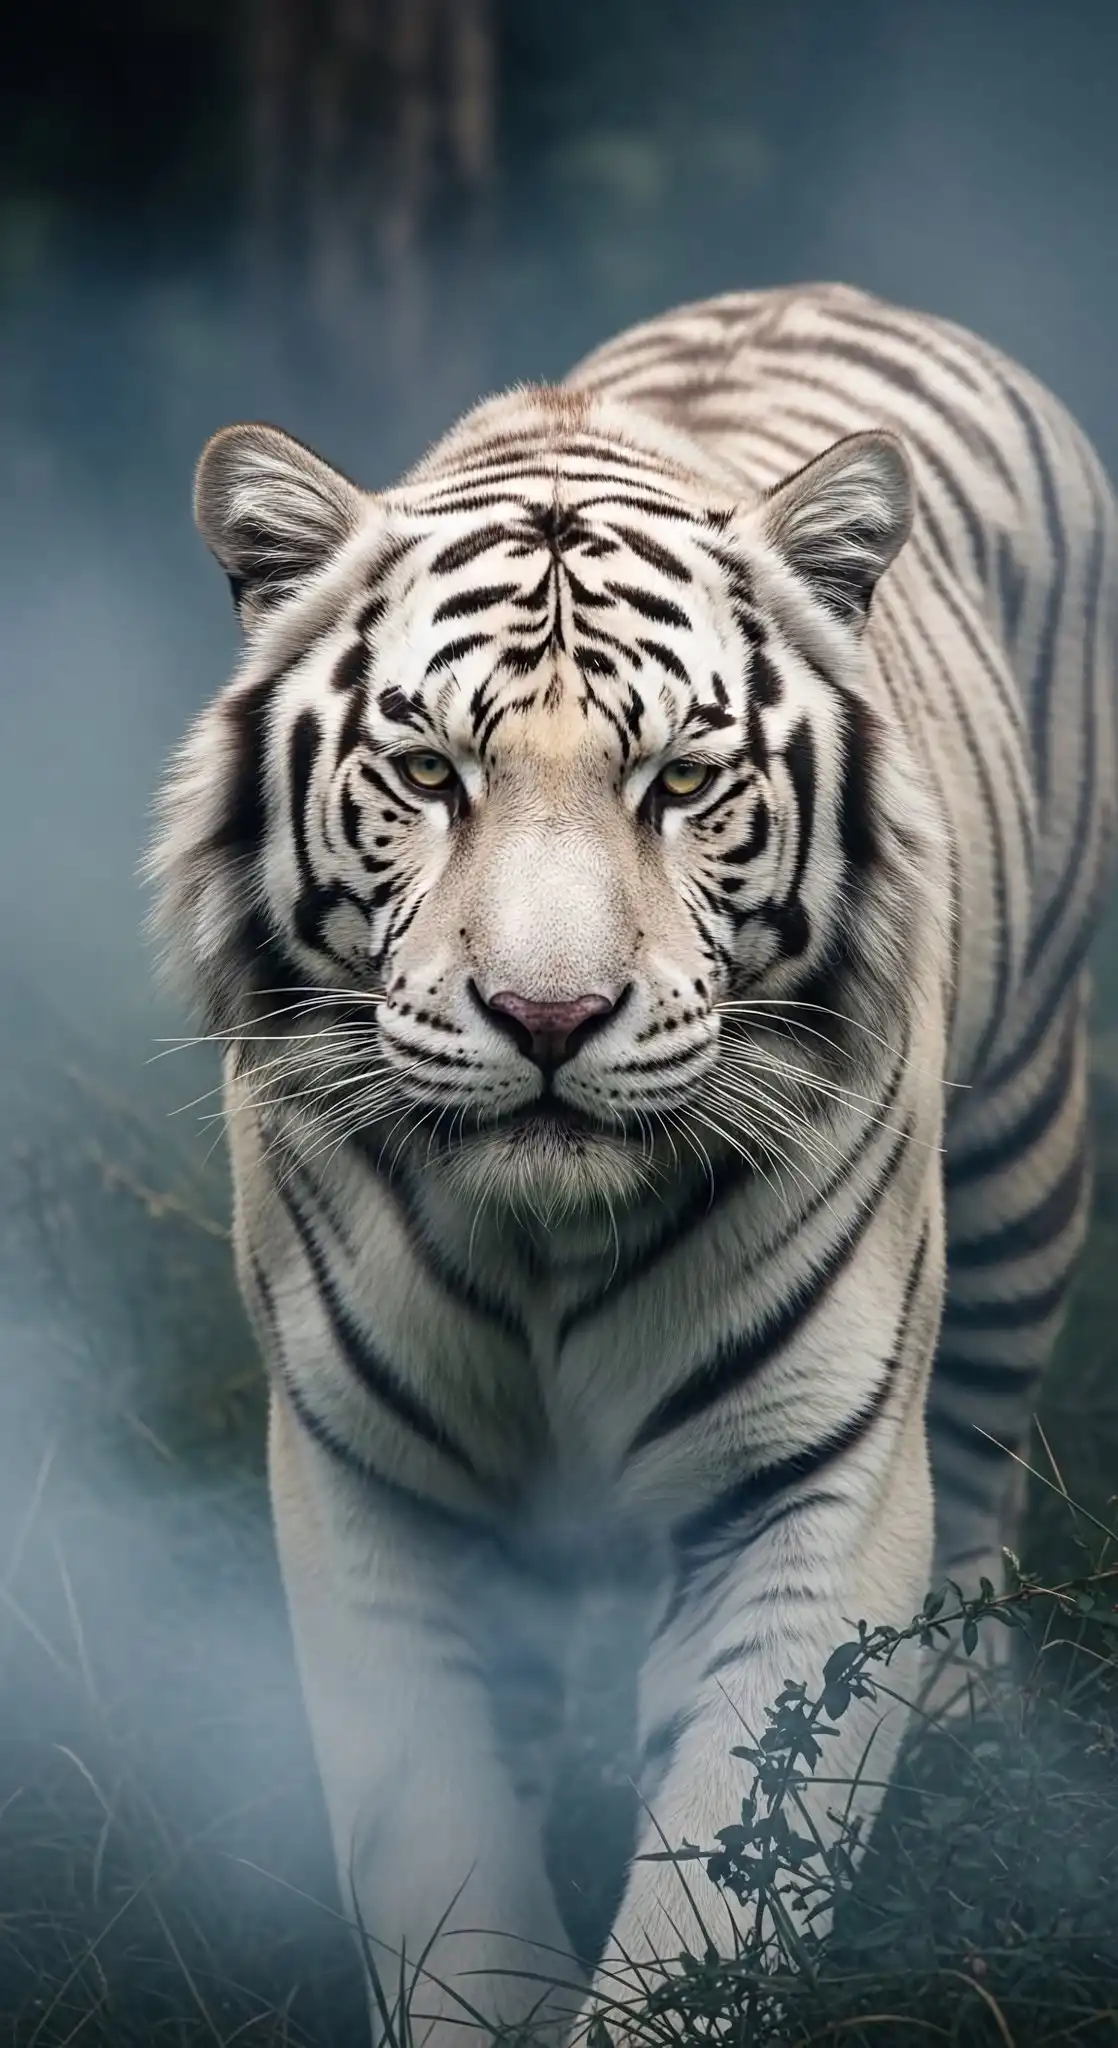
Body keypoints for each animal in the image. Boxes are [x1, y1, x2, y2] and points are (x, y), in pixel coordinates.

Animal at [149, 282, 1117, 2042]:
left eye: (679, 782)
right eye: (426, 774)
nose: (549, 1015)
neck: (544, 1248)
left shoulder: (809, 1490)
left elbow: (725, 1889)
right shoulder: (367, 1481)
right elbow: (442, 1872)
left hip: (1024, 1151)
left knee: (983, 1465)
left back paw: (972, 1751)